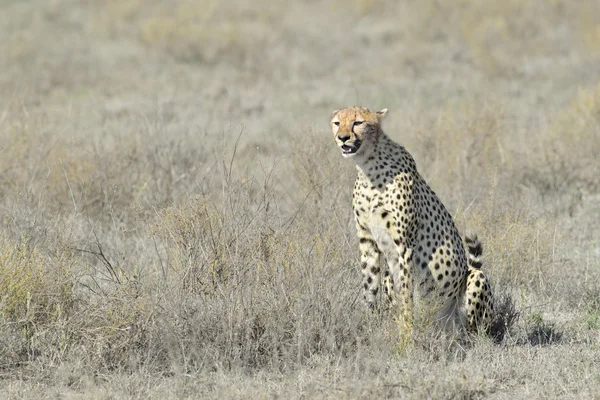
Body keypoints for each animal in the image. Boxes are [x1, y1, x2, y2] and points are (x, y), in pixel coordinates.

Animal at [332, 105, 492, 332]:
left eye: (358, 123)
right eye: (337, 123)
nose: (343, 138)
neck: (367, 166)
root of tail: (445, 323)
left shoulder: (404, 243)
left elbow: (407, 291)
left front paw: (406, 330)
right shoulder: (367, 240)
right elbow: (369, 286)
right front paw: (370, 326)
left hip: (474, 281)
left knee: (477, 331)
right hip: (390, 276)